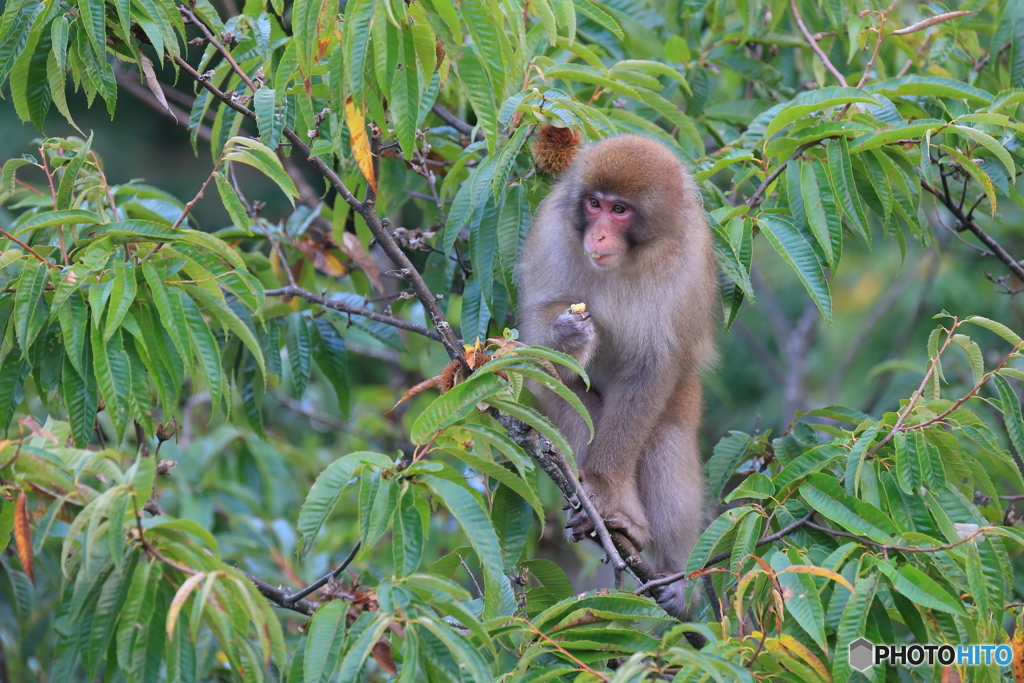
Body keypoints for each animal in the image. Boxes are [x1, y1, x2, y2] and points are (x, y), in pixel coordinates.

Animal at [516, 133, 716, 618]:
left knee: (665, 437)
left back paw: (655, 551)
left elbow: (651, 368)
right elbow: (536, 340)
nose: (599, 234)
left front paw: (607, 491)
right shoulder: (551, 235)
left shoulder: (684, 265)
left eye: (619, 209)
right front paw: (568, 334)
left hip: (684, 395)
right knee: (559, 389)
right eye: (594, 204)